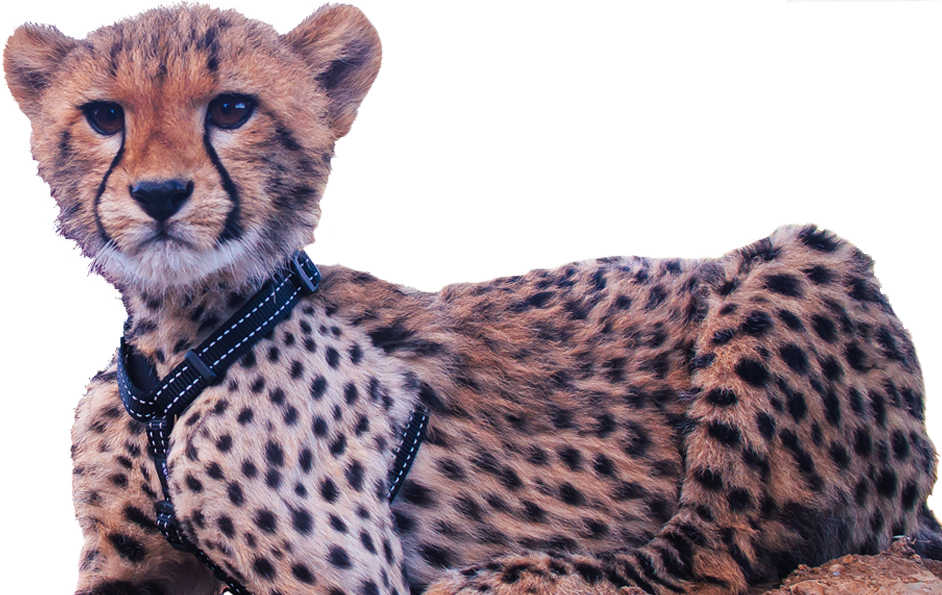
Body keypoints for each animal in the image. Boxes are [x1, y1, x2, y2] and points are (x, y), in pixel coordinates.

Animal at [3, 3, 941, 595]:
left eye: (232, 108)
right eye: (104, 116)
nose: (160, 194)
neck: (182, 336)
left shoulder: (345, 575)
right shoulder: (131, 563)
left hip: (797, 255)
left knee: (708, 552)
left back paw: (514, 574)